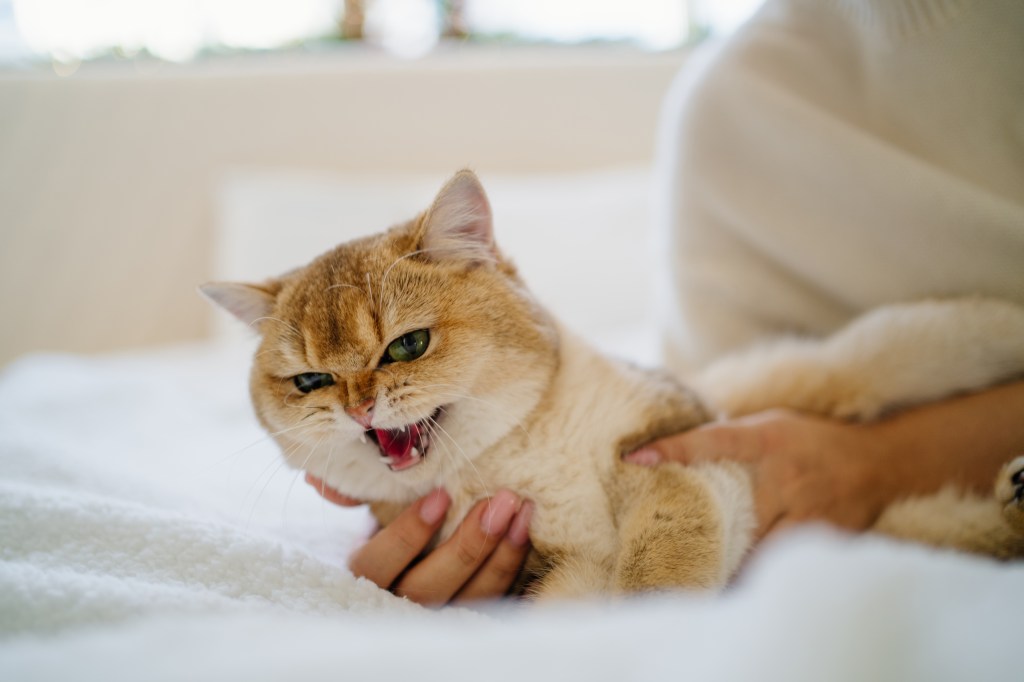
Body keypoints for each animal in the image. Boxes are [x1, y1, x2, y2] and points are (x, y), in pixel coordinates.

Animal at [199, 168, 1024, 593]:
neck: (520, 453)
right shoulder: (560, 574)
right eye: (310, 381)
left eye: (407, 345)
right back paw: (1014, 494)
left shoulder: (677, 435)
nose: (360, 404)